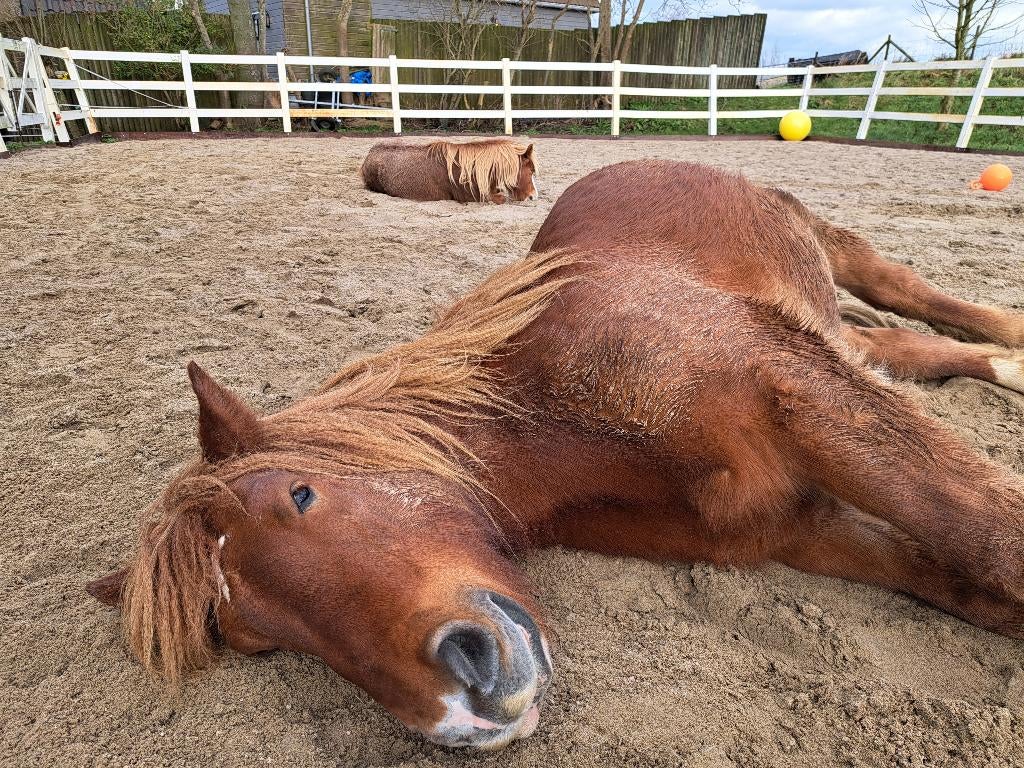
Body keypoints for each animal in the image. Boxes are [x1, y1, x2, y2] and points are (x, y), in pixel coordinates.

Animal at [87, 160, 1024, 751]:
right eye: (254, 640)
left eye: (302, 496)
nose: (458, 709)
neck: (557, 414)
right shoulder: (792, 526)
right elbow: (948, 576)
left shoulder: (804, 397)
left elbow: (985, 533)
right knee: (891, 344)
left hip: (828, 253)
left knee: (903, 290)